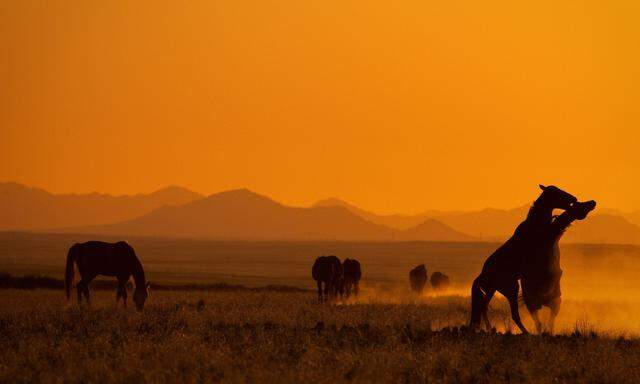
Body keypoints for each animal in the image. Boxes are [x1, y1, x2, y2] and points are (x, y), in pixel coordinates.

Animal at [468, 185, 576, 332]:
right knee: (513, 313)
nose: (574, 199)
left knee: (484, 307)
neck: (535, 225)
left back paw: (491, 329)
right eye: (556, 192)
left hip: (492, 290)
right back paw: (523, 331)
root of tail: (482, 275)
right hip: (511, 289)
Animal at [524, 200, 596, 334]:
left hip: (554, 305)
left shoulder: (556, 275)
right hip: (532, 304)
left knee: (548, 322)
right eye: (579, 205)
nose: (593, 202)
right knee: (540, 322)